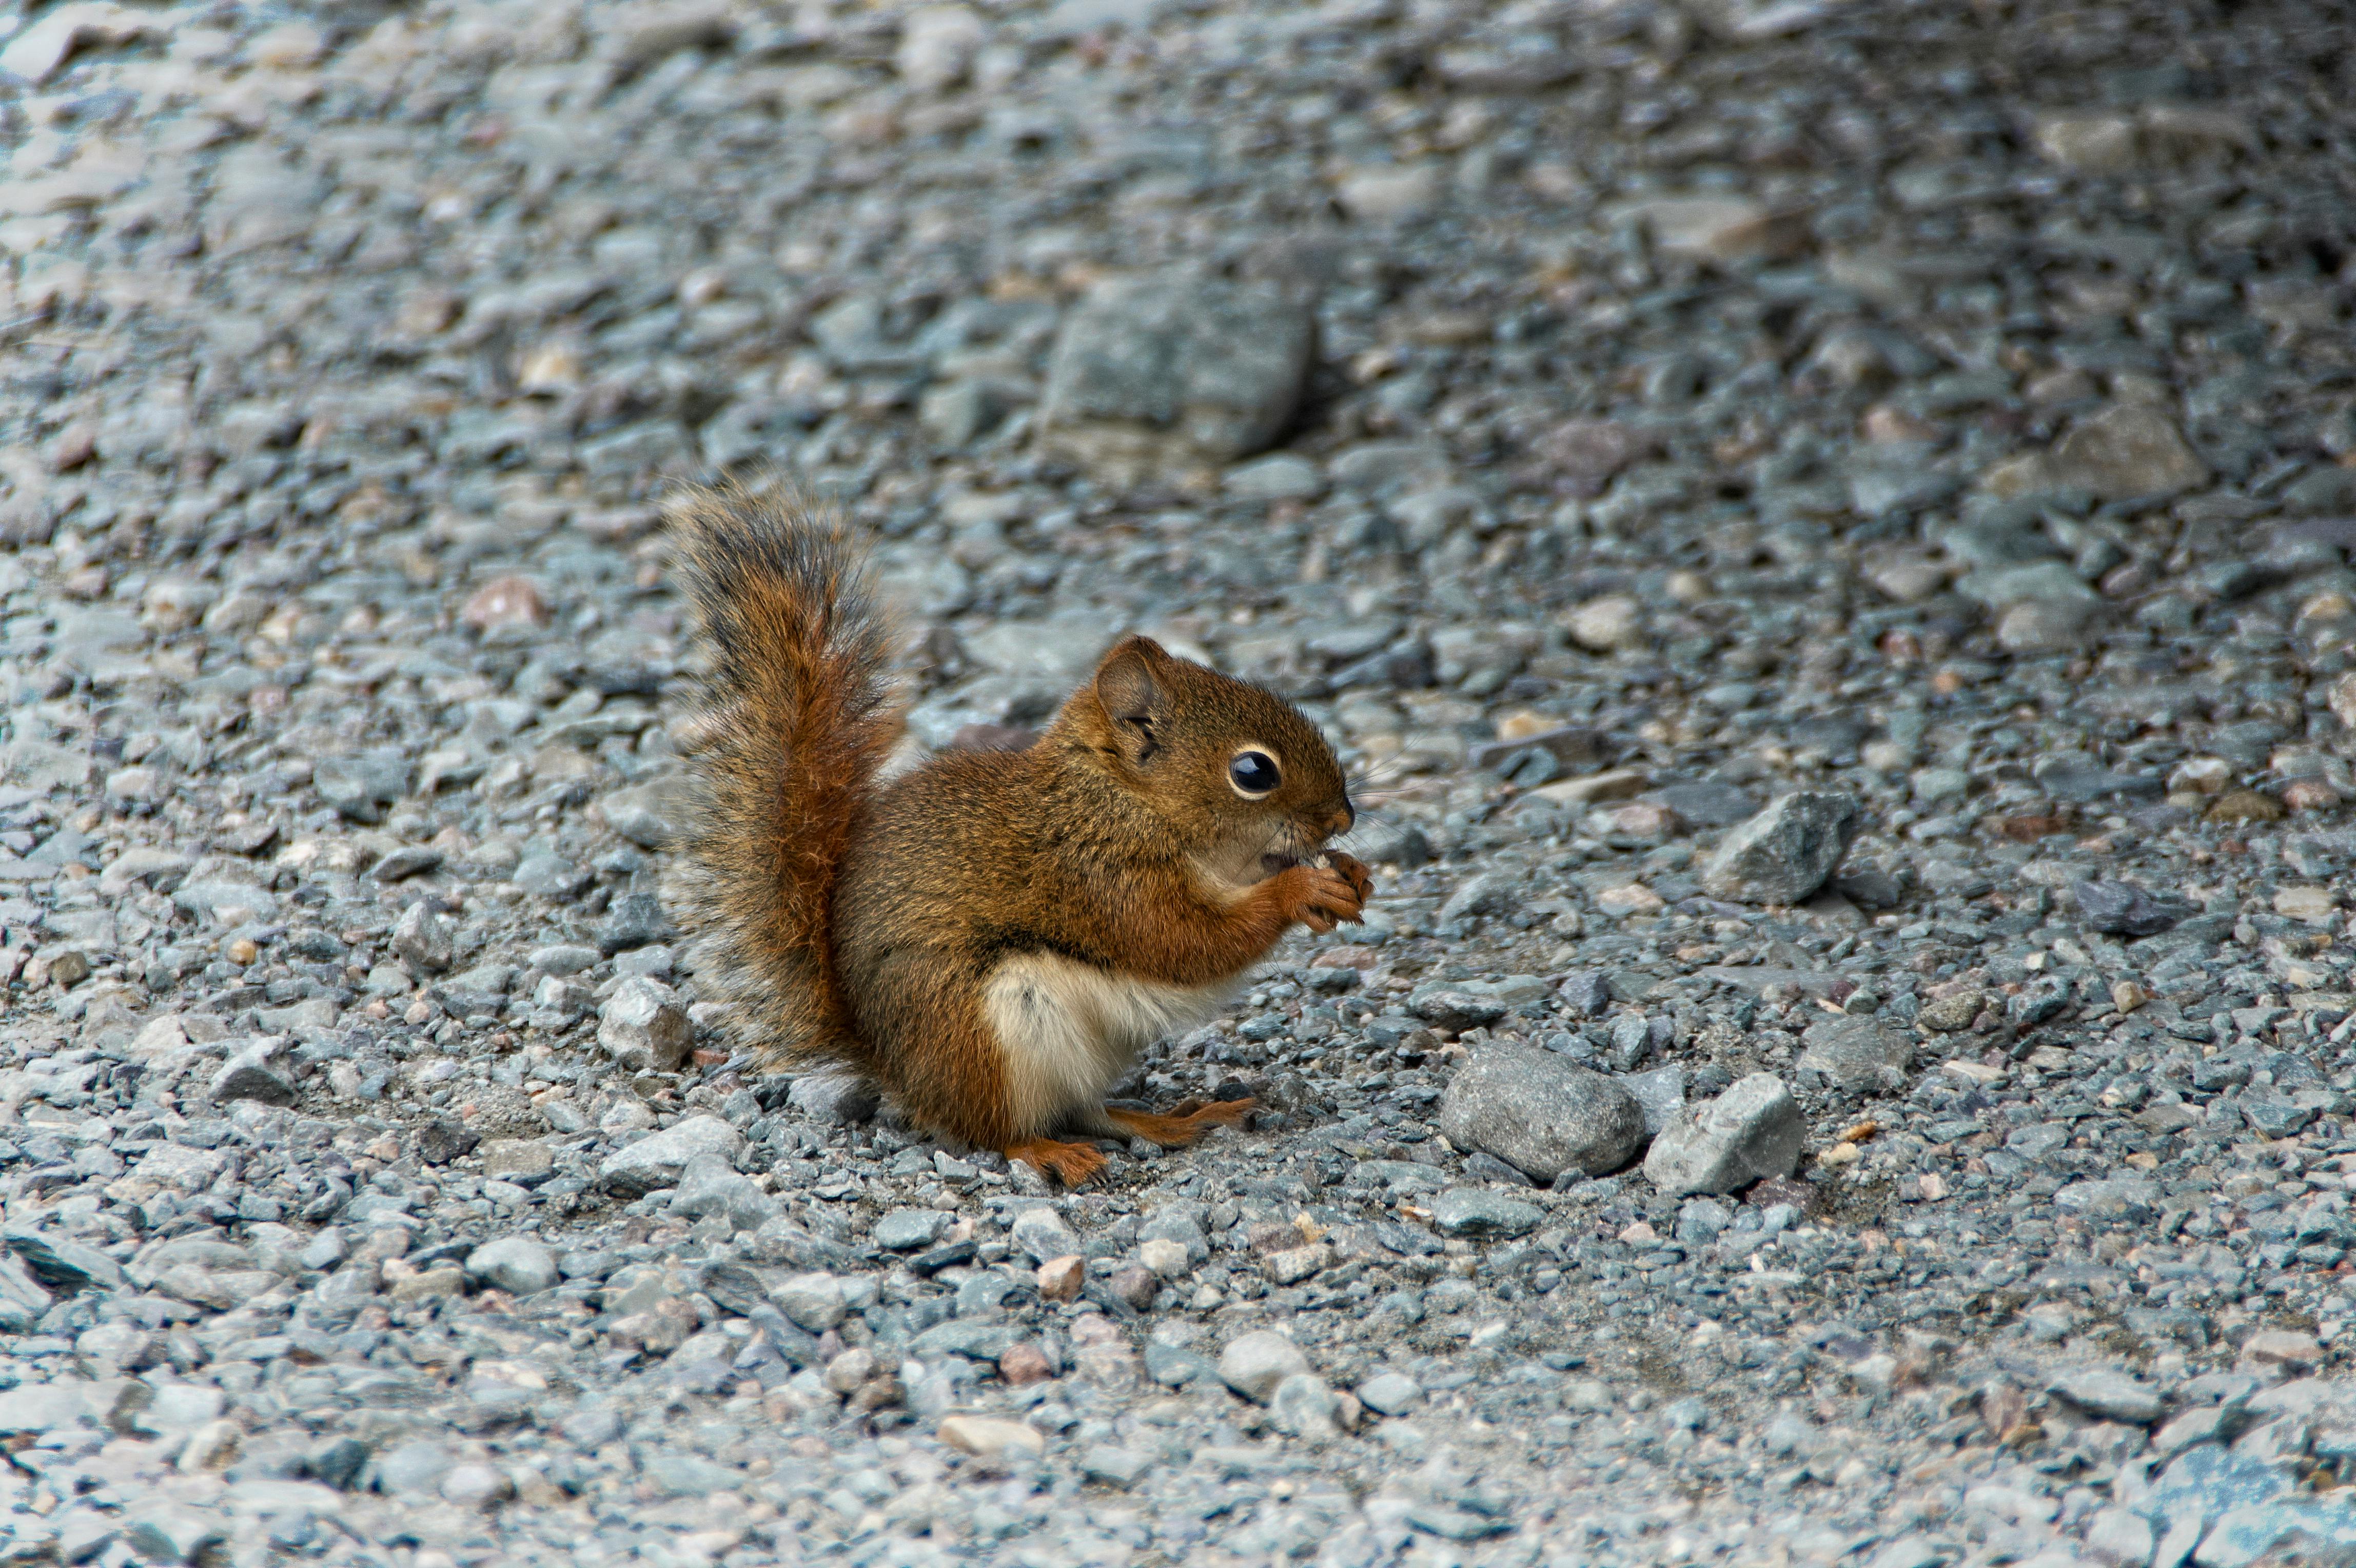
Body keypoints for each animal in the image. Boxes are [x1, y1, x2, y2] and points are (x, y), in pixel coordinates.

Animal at [664, 482, 1376, 1177]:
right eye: (1253, 771)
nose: (1343, 817)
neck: (1123, 801)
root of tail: (896, 1068)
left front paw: (1352, 876)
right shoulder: (1099, 875)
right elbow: (1184, 941)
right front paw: (1298, 892)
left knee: (1090, 1110)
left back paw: (1173, 1121)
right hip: (991, 1034)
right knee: (995, 1131)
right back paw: (1047, 1151)